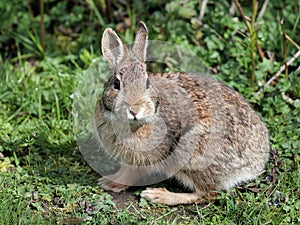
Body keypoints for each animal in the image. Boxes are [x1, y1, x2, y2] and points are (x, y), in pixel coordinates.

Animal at [95, 21, 270, 206]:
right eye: (116, 84)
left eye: (147, 83)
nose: (134, 110)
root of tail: (256, 162)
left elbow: (131, 173)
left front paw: (111, 183)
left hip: (191, 151)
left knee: (206, 193)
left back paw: (159, 195)